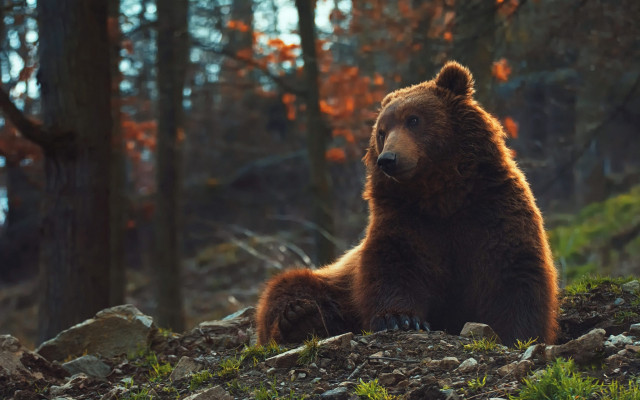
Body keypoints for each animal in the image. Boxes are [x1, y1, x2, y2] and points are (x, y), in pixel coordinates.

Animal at [255, 61, 559, 346]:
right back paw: (299, 317)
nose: (388, 159)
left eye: (413, 119)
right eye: (381, 131)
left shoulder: (491, 209)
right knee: (290, 285)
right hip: (334, 283)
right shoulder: (406, 219)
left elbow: (514, 271)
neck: (442, 195)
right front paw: (400, 319)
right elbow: (394, 265)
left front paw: (518, 333)